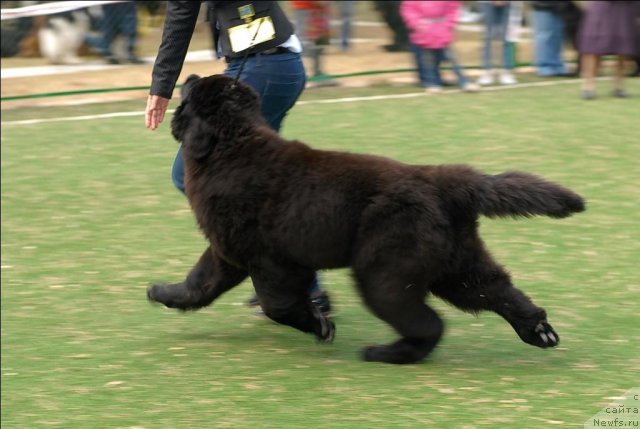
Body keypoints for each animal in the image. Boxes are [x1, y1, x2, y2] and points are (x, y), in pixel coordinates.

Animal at [146, 75, 584, 362]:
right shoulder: (227, 252)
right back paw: (539, 331)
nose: (190, 74)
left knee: (430, 324)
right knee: (497, 292)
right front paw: (164, 293)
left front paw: (320, 326)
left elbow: (278, 306)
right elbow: (199, 283)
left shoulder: (271, 262)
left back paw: (385, 352)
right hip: (455, 264)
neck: (231, 146)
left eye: (193, 91)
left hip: (385, 273)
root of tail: (441, 180)